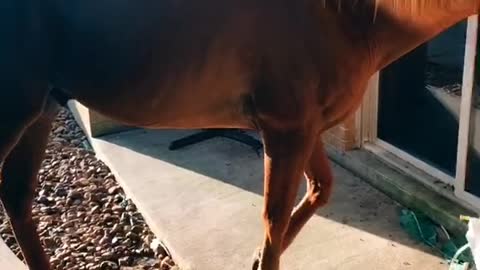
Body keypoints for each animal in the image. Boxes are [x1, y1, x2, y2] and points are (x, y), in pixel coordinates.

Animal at [0, 0, 480, 270]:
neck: (352, 16)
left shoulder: (304, 129)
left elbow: (319, 190)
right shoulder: (285, 128)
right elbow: (274, 218)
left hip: (40, 111)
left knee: (18, 200)